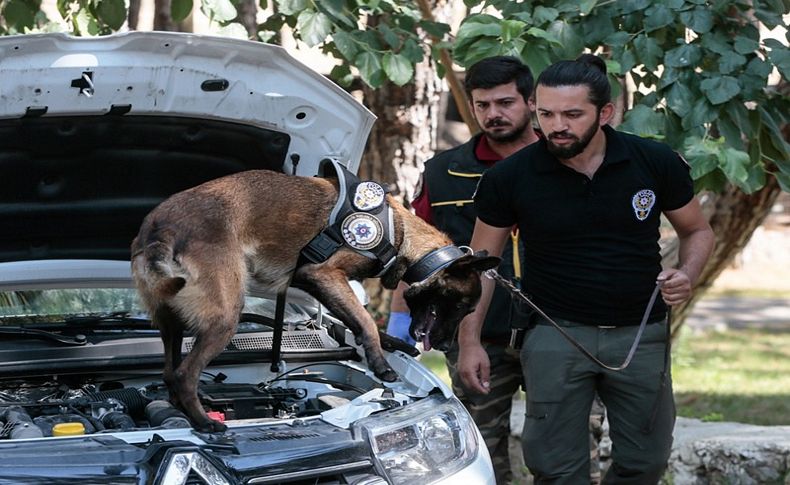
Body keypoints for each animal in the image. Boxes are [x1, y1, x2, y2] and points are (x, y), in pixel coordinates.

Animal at [133, 169, 498, 432]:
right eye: (463, 307)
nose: (447, 347)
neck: (402, 233)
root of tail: (159, 226)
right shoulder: (324, 274)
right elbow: (366, 320)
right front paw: (382, 365)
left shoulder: (319, 284)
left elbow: (357, 321)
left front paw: (389, 346)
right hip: (225, 316)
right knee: (185, 373)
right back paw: (205, 423)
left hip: (171, 322)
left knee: (170, 371)